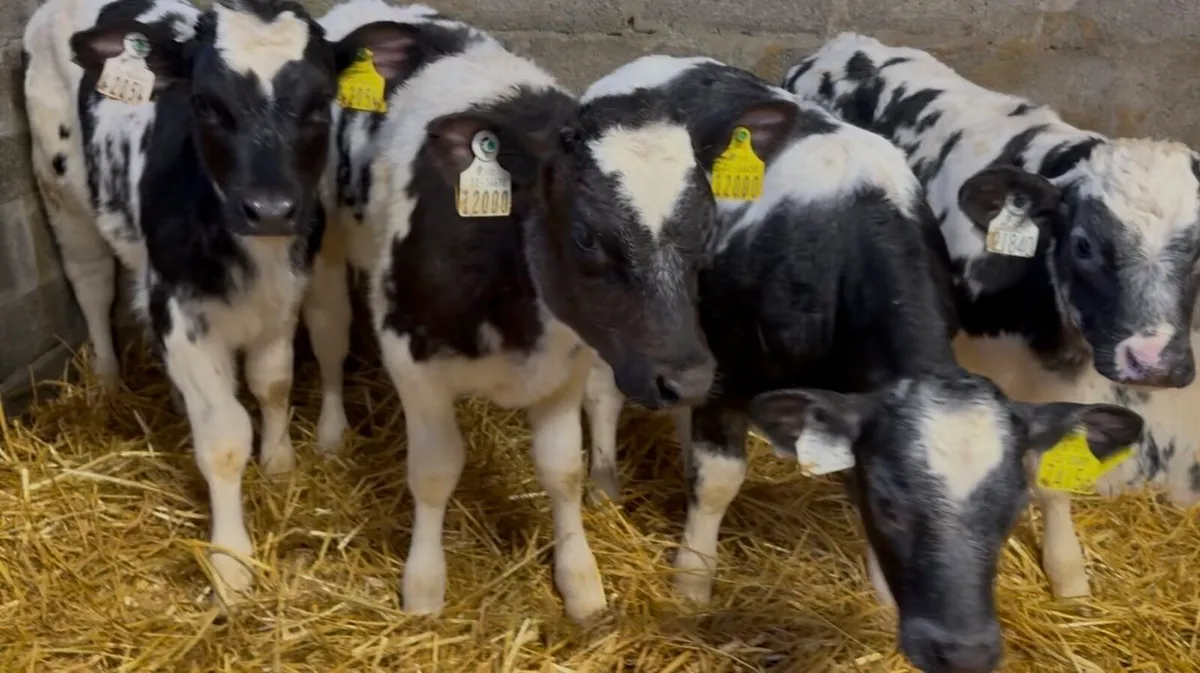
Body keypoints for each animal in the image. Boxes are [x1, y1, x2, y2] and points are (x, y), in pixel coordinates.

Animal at [23, 0, 378, 602]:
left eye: (320, 102)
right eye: (206, 103)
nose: (270, 208)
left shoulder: (281, 298)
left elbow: (273, 383)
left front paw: (279, 462)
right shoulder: (181, 315)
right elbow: (226, 436)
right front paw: (231, 564)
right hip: (61, 189)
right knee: (91, 283)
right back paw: (108, 379)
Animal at [314, 0, 716, 623]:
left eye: (709, 223)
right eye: (585, 235)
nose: (688, 380)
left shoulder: (567, 364)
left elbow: (562, 470)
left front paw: (580, 581)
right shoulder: (411, 358)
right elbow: (434, 471)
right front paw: (424, 585)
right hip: (328, 243)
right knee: (329, 334)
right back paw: (331, 431)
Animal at [581, 55, 1145, 673]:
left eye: (1012, 508)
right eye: (892, 505)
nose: (963, 652)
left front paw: (880, 595)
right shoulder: (727, 373)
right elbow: (718, 482)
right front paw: (691, 582)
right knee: (602, 391)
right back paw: (603, 486)